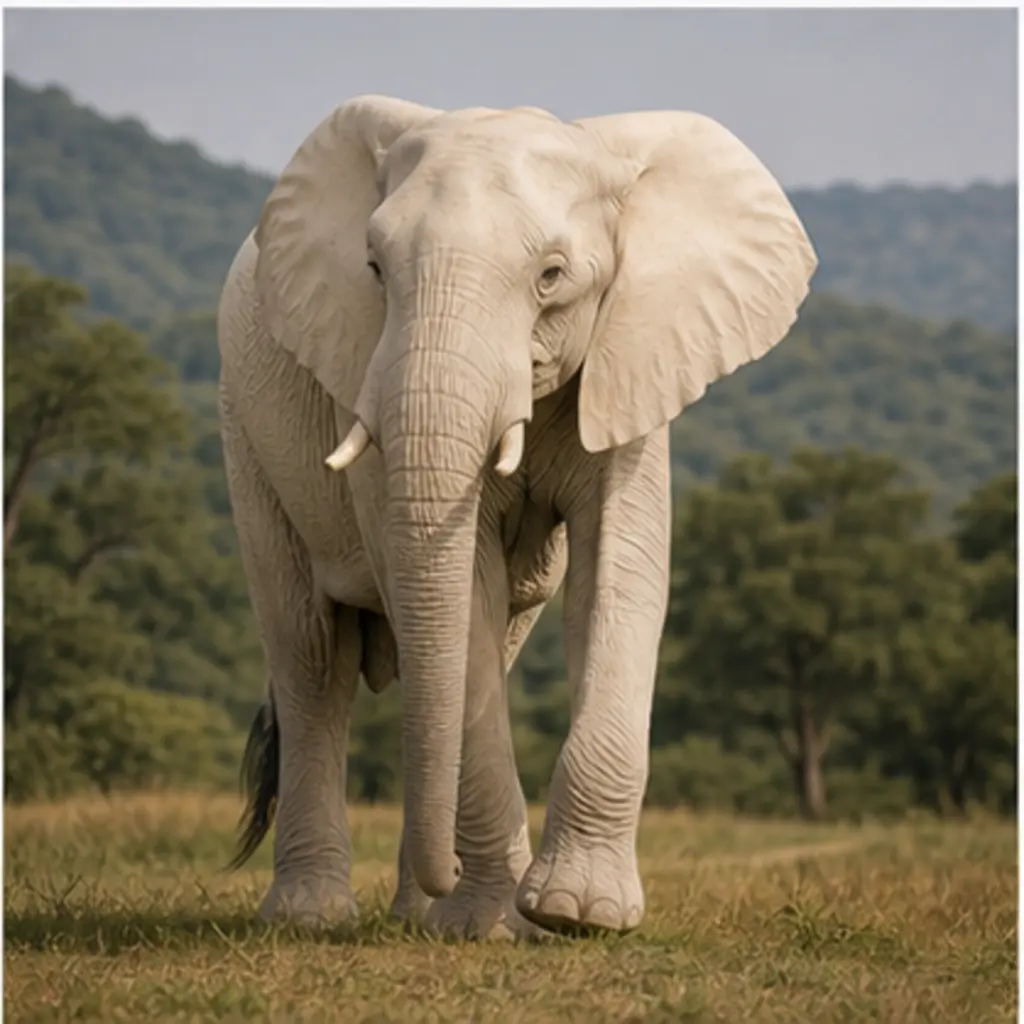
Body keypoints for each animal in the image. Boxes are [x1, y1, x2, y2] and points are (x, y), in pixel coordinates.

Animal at [218, 94, 817, 940]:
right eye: (374, 271)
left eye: (552, 276)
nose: (442, 879)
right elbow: (458, 585)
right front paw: (498, 928)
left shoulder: (634, 362)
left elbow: (622, 570)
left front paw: (578, 915)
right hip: (244, 432)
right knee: (311, 656)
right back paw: (316, 919)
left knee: (483, 644)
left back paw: (416, 917)